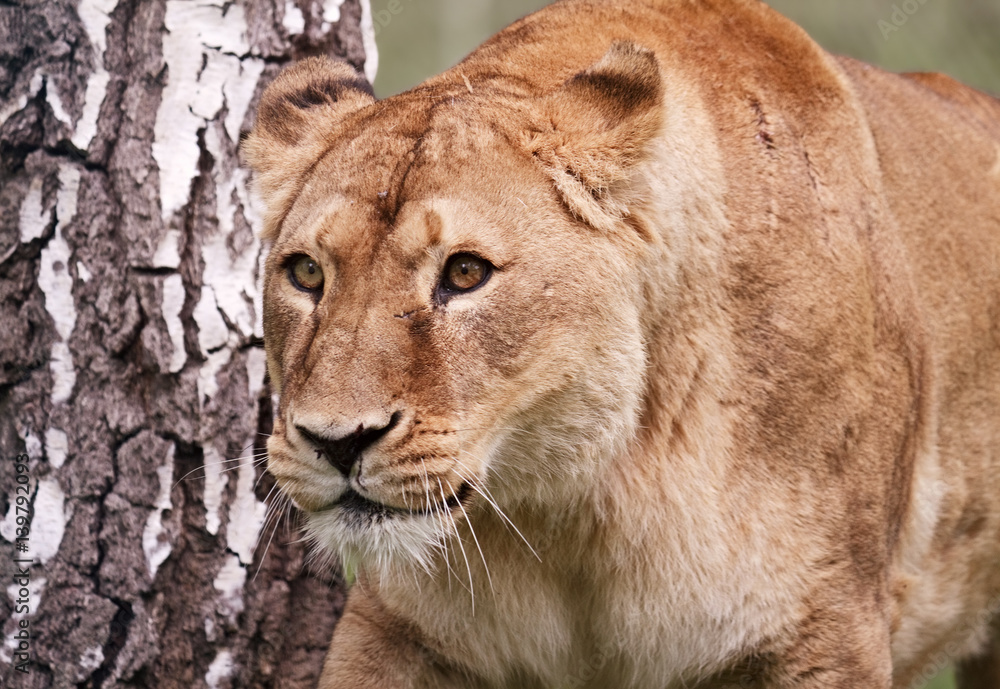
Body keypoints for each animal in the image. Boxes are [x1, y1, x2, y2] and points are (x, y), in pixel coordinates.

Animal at [243, 0, 1000, 687]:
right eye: (306, 273)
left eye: (464, 273)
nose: (337, 442)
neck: (574, 508)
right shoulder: (395, 628)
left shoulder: (825, 630)